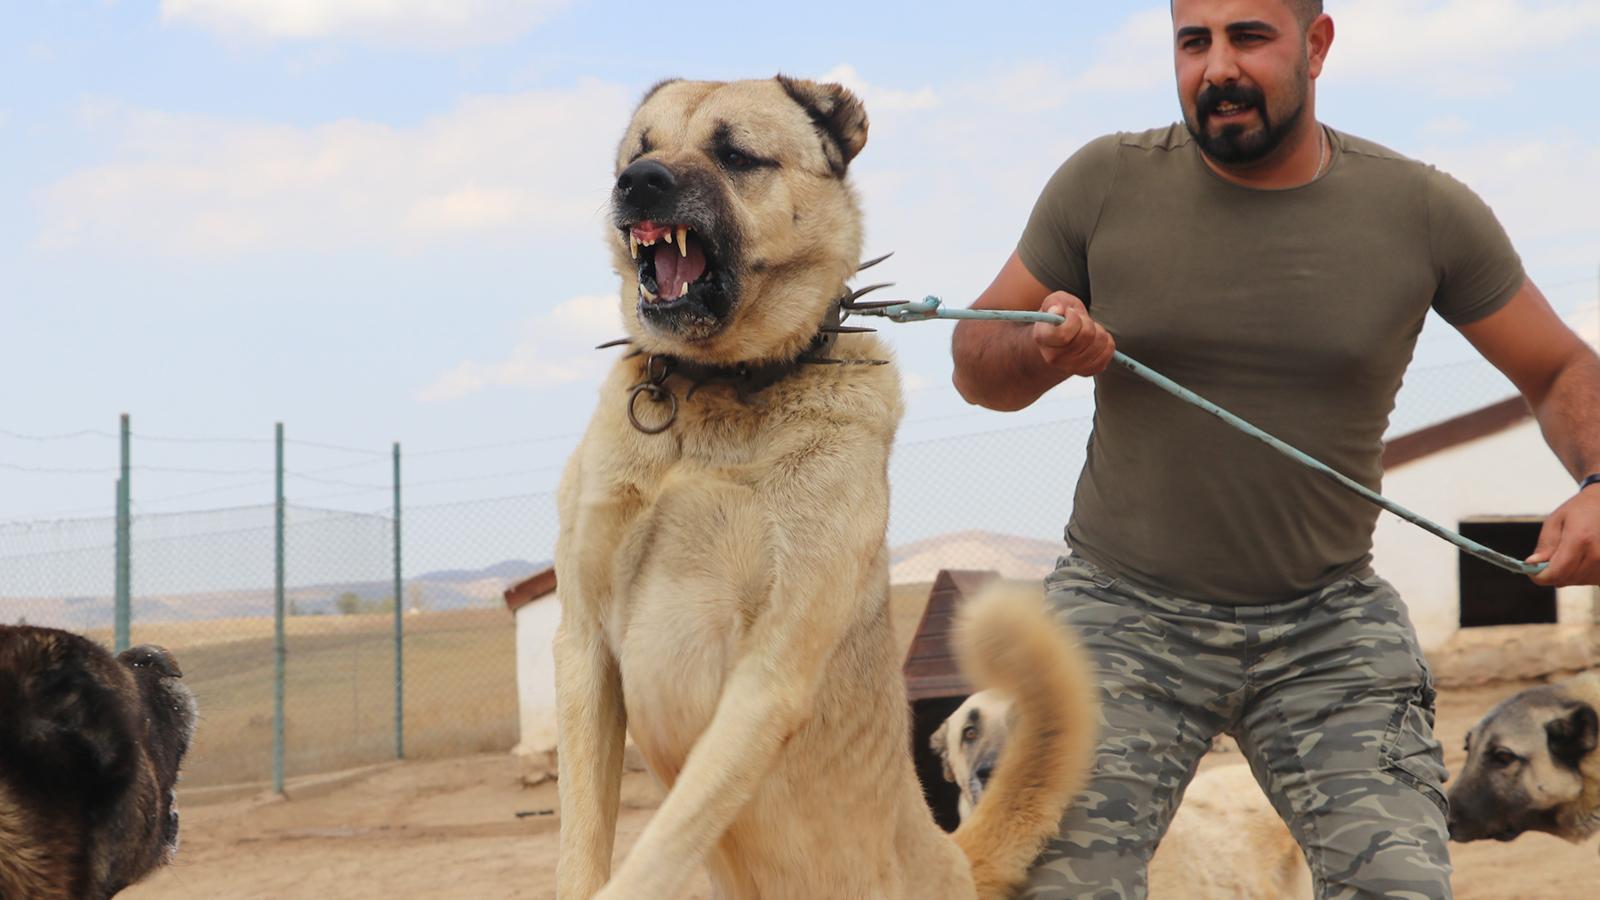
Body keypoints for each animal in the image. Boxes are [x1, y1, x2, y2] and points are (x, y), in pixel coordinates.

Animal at [553, 78, 1100, 896]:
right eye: (638, 151)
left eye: (735, 154)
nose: (639, 184)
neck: (719, 389)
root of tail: (954, 857)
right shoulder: (585, 647)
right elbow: (583, 846)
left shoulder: (767, 674)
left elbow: (656, 849)